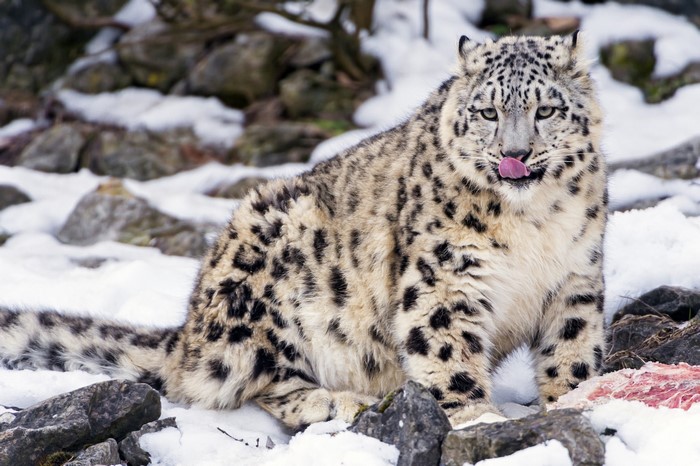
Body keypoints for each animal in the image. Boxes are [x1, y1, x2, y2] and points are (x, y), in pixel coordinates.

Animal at [0, 33, 607, 430]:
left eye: (547, 110)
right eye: (486, 112)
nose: (514, 154)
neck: (532, 225)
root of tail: (188, 331)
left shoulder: (576, 277)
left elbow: (572, 347)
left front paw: (576, 400)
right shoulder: (443, 281)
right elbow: (447, 350)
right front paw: (479, 418)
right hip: (267, 284)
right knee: (247, 382)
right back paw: (337, 402)